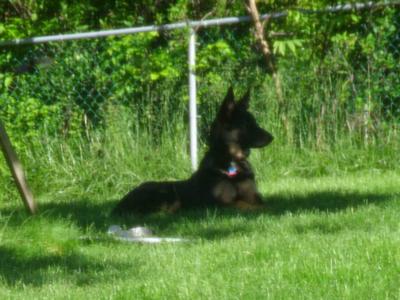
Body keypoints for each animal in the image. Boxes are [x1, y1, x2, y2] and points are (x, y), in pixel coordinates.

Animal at [114, 86, 274, 216]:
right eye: (248, 124)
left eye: (254, 122)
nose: (272, 137)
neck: (231, 158)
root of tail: (118, 207)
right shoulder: (220, 204)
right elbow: (245, 205)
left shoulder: (254, 196)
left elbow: (263, 203)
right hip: (167, 193)